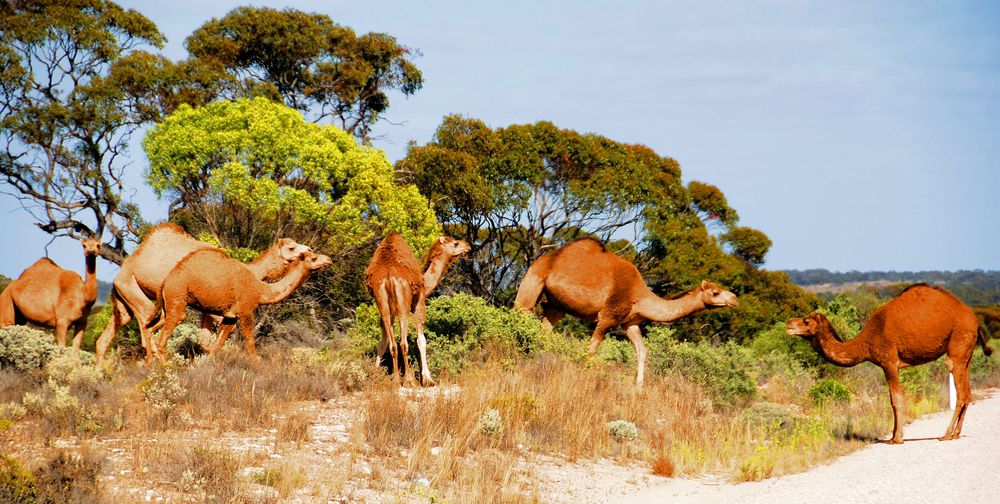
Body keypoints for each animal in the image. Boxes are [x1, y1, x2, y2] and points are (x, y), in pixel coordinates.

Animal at [96, 222, 312, 364]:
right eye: (291, 247)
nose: (308, 249)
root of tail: (123, 269)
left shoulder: (211, 307)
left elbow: (208, 339)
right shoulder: (216, 307)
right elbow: (213, 337)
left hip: (124, 298)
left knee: (107, 337)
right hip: (137, 291)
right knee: (145, 326)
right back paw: (153, 364)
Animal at [145, 249, 332, 358]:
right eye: (314, 258)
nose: (329, 260)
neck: (260, 289)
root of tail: (165, 282)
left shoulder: (230, 316)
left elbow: (218, 344)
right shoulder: (245, 310)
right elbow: (249, 341)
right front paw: (256, 365)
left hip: (166, 305)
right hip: (177, 297)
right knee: (163, 338)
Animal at [368, 232, 472, 386]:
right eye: (455, 244)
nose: (467, 245)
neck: (426, 283)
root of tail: (388, 276)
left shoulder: (388, 312)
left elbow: (383, 342)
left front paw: (376, 372)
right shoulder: (420, 303)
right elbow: (421, 341)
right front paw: (428, 378)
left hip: (382, 302)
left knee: (393, 344)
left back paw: (396, 380)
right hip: (403, 304)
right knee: (403, 343)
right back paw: (409, 380)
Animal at [516, 238, 736, 388]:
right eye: (715, 292)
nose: (734, 298)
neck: (640, 297)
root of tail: (541, 260)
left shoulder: (630, 323)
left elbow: (642, 351)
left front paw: (639, 387)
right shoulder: (608, 316)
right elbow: (591, 349)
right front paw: (580, 375)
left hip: (556, 306)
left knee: (544, 329)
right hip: (533, 281)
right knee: (521, 312)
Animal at [788, 284, 992, 444]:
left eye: (806, 321)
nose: (789, 325)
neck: (866, 341)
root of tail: (976, 321)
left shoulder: (889, 362)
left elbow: (895, 399)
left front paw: (897, 438)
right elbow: (892, 399)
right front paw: (893, 436)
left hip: (958, 341)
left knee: (960, 391)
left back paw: (946, 435)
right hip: (967, 355)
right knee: (968, 393)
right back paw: (956, 434)